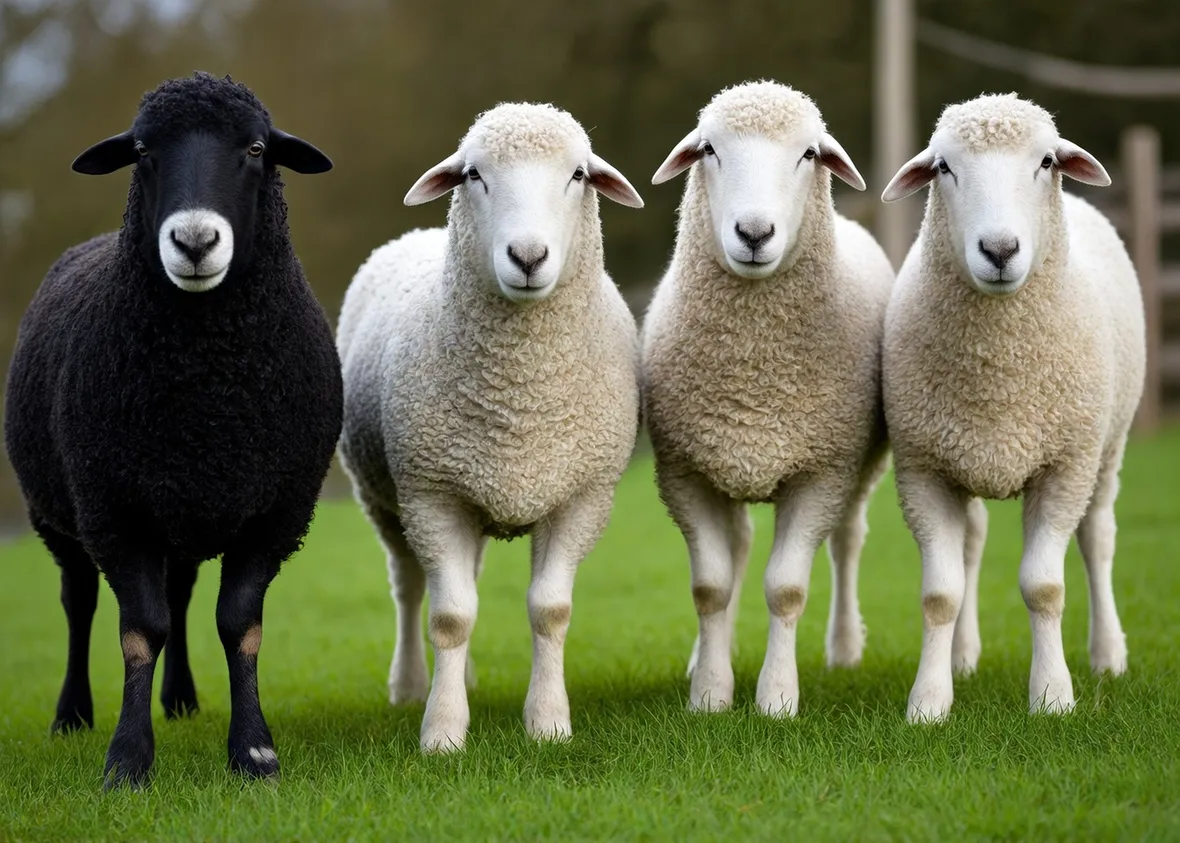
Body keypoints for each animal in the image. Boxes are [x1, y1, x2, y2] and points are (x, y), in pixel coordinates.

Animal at [3, 72, 340, 788]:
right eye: (142, 151)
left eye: (256, 148)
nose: (193, 242)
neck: (206, 396)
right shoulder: (116, 510)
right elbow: (141, 630)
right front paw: (128, 760)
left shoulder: (274, 513)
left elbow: (237, 624)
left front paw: (254, 752)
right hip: (59, 517)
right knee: (79, 603)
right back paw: (71, 714)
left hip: (183, 513)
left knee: (181, 595)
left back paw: (181, 698)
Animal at [336, 102, 644, 753]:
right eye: (474, 174)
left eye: (578, 175)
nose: (527, 257)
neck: (518, 403)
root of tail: (416, 235)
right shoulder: (431, 495)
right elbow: (450, 616)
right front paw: (442, 731)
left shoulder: (581, 497)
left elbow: (549, 610)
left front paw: (548, 723)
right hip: (385, 499)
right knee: (409, 588)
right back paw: (411, 685)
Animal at [641, 80, 894, 717]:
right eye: (708, 149)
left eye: (809, 153)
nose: (754, 235)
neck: (755, 376)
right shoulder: (685, 473)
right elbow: (710, 587)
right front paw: (710, 692)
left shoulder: (821, 472)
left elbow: (786, 588)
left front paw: (777, 697)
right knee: (737, 549)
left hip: (861, 466)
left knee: (848, 541)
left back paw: (845, 648)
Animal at [880, 93, 1146, 722]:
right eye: (943, 167)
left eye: (1046, 162)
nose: (999, 251)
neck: (999, 375)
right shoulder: (924, 470)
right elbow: (941, 594)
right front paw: (929, 701)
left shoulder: (1064, 467)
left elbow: (1044, 587)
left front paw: (1052, 696)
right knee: (973, 545)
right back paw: (963, 657)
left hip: (1107, 447)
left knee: (1099, 538)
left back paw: (1108, 655)